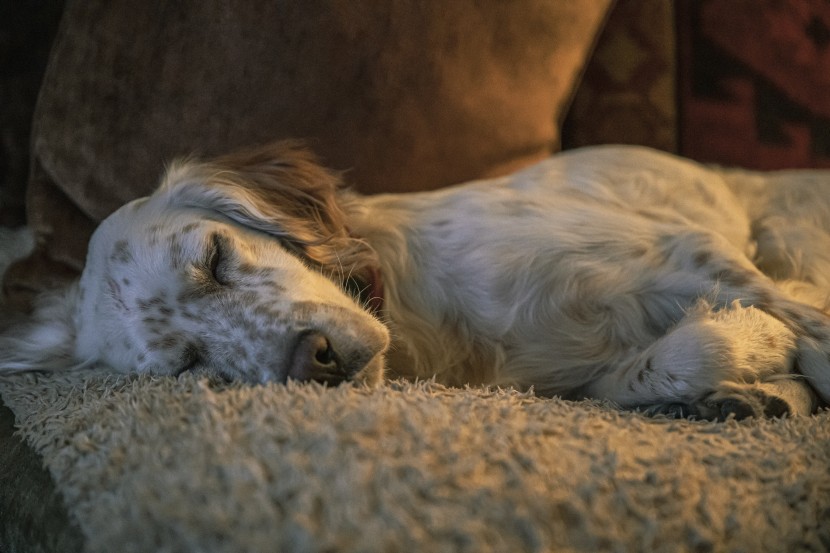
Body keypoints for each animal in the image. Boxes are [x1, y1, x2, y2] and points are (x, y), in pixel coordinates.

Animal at [1, 142, 830, 418]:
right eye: (189, 363)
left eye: (214, 255)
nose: (314, 360)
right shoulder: (569, 381)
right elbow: (671, 359)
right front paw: (745, 359)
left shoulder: (684, 247)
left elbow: (806, 325)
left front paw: (761, 344)